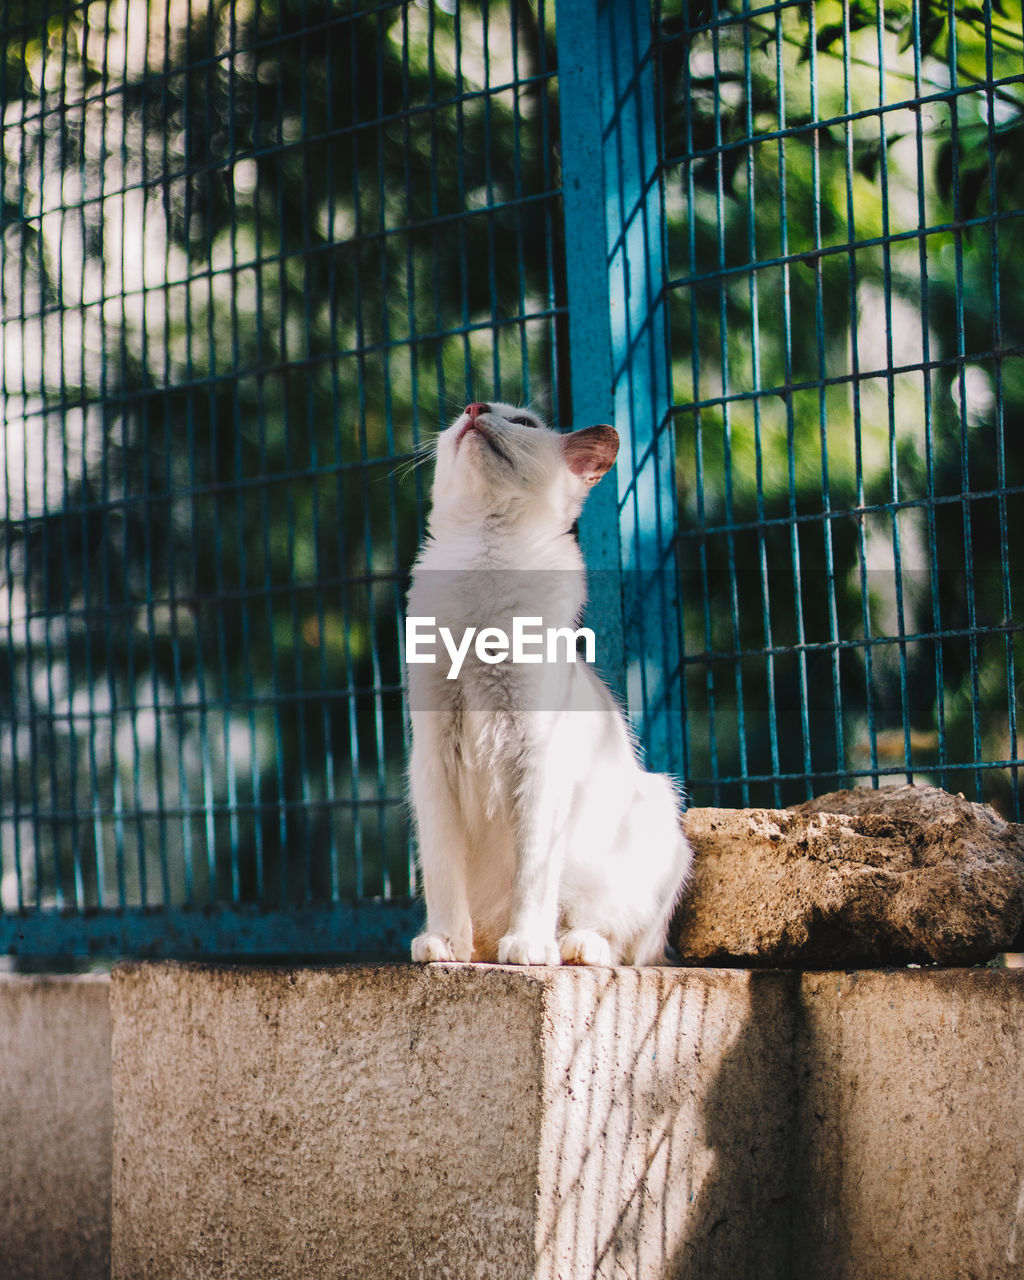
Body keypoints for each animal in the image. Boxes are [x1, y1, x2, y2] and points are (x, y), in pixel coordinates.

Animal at [404, 399, 691, 962]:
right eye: (465, 414)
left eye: (523, 424)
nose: (474, 409)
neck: (483, 568)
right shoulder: (433, 757)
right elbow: (444, 876)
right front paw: (445, 944)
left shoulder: (536, 759)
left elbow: (531, 876)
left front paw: (528, 948)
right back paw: (475, 947)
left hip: (660, 813)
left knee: (619, 943)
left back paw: (572, 949)